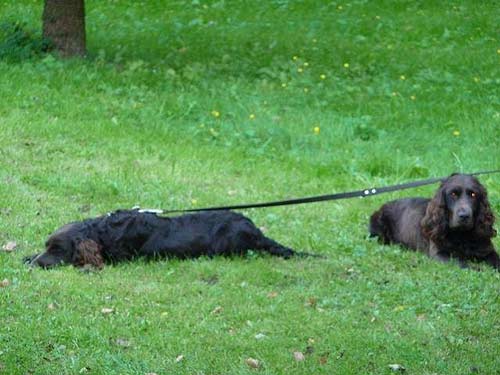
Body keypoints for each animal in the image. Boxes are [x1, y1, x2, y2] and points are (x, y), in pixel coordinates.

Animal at [370, 175, 498, 268]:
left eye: (473, 194)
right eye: (453, 194)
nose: (464, 216)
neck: (462, 235)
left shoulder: (487, 250)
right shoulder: (440, 254)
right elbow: (465, 265)